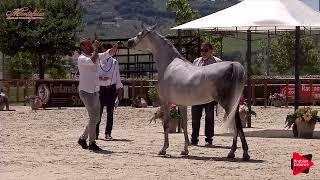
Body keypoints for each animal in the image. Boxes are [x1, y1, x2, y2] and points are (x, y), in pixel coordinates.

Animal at [127, 25, 250, 160]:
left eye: (140, 34)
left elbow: (166, 124)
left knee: (236, 125)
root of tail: (233, 65)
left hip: (227, 104)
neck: (169, 65)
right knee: (237, 125)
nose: (129, 42)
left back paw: (237, 153)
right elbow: (185, 125)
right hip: (234, 104)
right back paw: (238, 153)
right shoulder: (182, 104)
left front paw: (163, 149)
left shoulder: (165, 102)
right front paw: (185, 150)